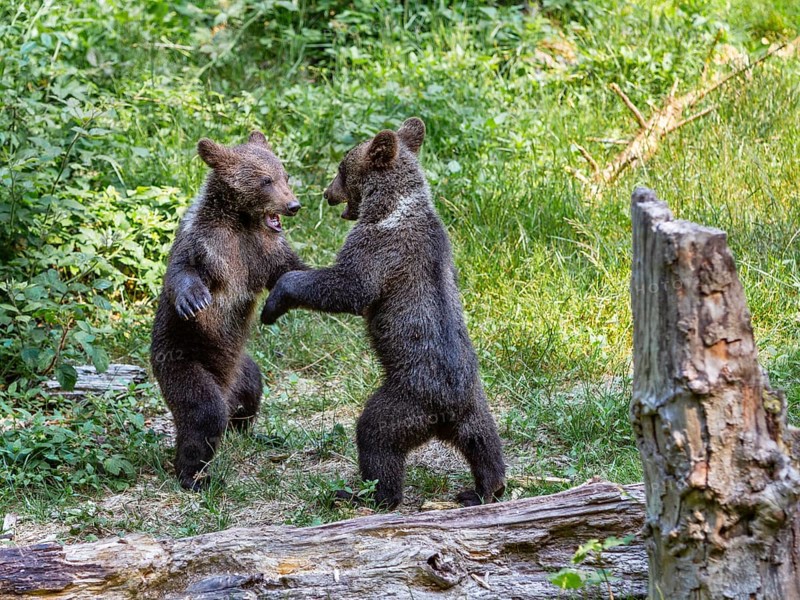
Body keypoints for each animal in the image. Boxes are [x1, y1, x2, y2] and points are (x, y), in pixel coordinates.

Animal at [151, 131, 305, 491]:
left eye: (285, 175)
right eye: (265, 180)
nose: (293, 205)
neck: (241, 222)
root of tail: (225, 387)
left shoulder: (263, 252)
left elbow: (290, 268)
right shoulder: (208, 245)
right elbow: (183, 270)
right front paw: (194, 299)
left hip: (242, 367)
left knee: (252, 390)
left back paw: (252, 432)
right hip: (183, 361)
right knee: (203, 414)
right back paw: (193, 475)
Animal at [260, 118, 506, 508]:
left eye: (341, 169)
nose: (326, 193)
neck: (391, 205)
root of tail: (445, 413)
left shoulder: (380, 248)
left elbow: (349, 286)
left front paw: (274, 302)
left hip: (404, 401)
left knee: (376, 436)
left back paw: (364, 494)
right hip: (475, 404)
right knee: (484, 441)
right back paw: (484, 488)